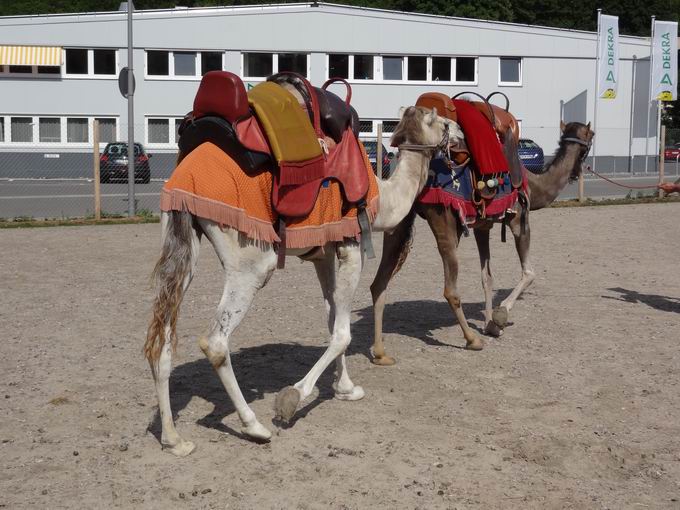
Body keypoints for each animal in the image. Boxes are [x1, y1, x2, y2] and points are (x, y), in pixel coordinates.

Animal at [370, 121, 592, 364]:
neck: (535, 185)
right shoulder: (519, 221)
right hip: (445, 222)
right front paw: (500, 316)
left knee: (378, 283)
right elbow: (529, 273)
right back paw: (472, 340)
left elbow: (487, 277)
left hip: (397, 220)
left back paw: (379, 352)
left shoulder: (482, 227)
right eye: (591, 137)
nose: (578, 172)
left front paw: (489, 324)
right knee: (450, 289)